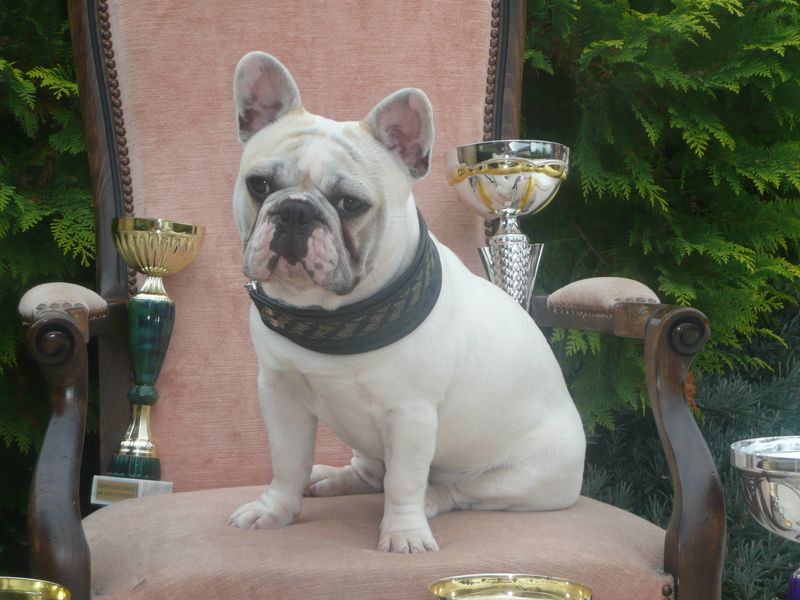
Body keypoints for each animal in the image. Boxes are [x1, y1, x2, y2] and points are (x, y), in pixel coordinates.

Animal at [227, 52, 586, 553]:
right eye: (259, 185)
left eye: (351, 203)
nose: (296, 211)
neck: (333, 316)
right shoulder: (279, 395)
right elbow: (286, 461)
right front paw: (275, 509)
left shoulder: (411, 415)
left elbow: (404, 481)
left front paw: (404, 534)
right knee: (369, 471)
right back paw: (333, 478)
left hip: (526, 477)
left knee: (452, 490)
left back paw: (429, 502)